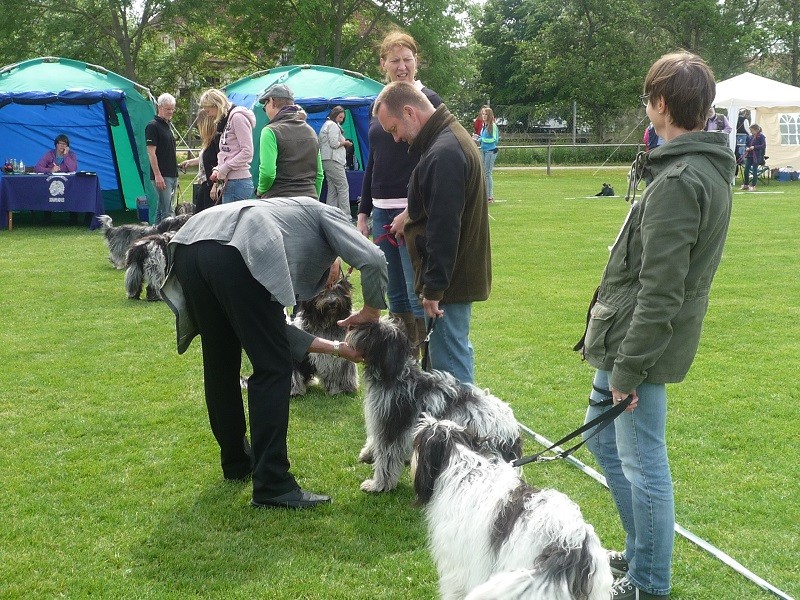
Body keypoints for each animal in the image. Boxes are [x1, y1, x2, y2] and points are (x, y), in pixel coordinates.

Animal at [346, 318, 520, 492]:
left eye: (371, 330)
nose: (351, 327)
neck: (396, 375)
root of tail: (512, 429)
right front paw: (368, 453)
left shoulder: (391, 426)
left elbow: (386, 459)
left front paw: (378, 485)